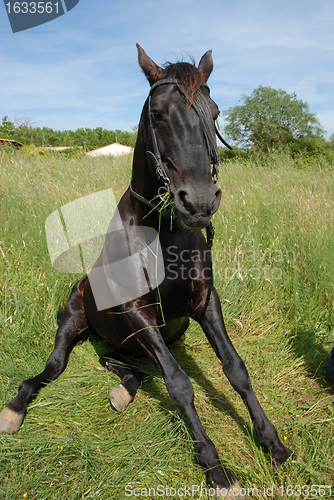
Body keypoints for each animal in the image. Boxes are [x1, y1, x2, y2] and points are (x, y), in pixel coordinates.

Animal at [0, 46, 290, 496]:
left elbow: (236, 370)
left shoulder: (206, 303)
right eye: (157, 113)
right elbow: (179, 385)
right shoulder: (139, 312)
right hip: (74, 324)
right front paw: (216, 468)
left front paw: (272, 443)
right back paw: (16, 407)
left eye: (215, 113)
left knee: (124, 366)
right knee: (54, 367)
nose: (199, 203)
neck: (161, 236)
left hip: (128, 344)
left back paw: (123, 391)